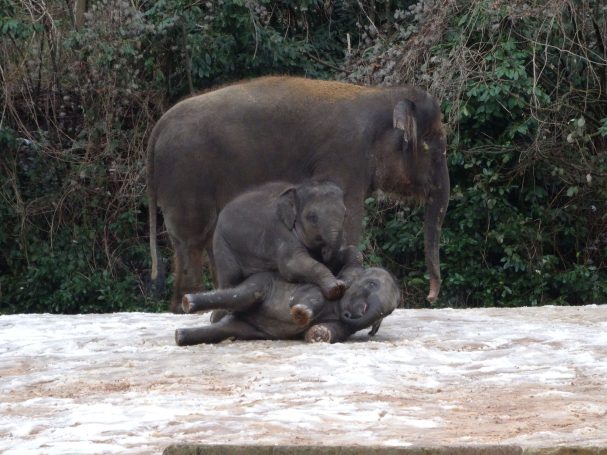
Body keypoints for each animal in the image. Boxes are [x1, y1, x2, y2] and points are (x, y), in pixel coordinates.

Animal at [175, 266, 401, 345]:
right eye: (372, 284)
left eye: (390, 311)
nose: (350, 314)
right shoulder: (317, 291)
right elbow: (308, 300)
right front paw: (301, 313)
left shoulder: (344, 325)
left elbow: (334, 330)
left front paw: (317, 334)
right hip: (262, 281)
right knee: (242, 296)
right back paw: (189, 302)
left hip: (249, 328)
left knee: (225, 329)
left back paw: (180, 336)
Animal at [212, 180, 358, 300]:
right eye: (312, 217)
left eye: (345, 214)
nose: (325, 251)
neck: (296, 188)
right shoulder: (281, 234)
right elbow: (292, 265)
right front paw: (336, 288)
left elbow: (352, 251)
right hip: (222, 244)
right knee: (231, 277)